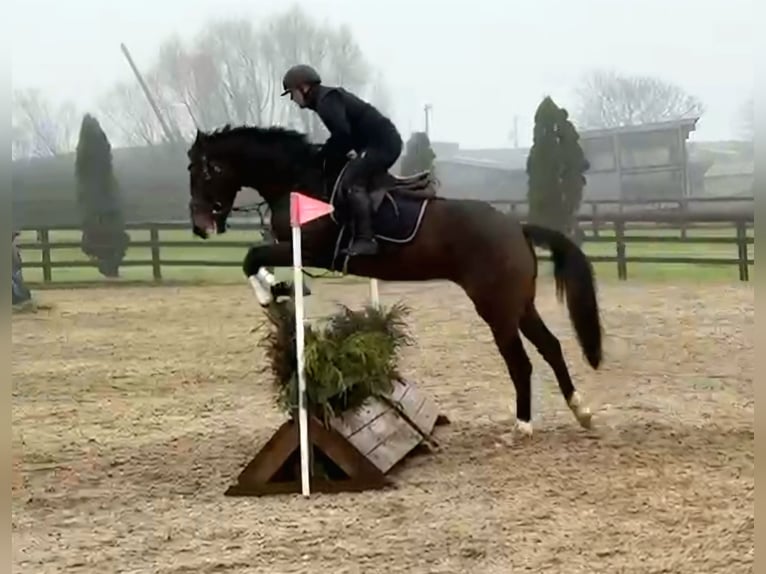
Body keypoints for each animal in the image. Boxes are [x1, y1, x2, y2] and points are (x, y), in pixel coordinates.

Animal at [186, 124, 604, 437]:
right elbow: (254, 258)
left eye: (203, 171)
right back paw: (581, 410)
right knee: (551, 347)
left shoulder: (308, 248)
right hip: (520, 304)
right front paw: (280, 288)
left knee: (521, 361)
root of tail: (517, 227)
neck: (298, 180)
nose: (200, 227)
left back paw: (522, 426)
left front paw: (273, 291)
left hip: (496, 308)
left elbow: (251, 258)